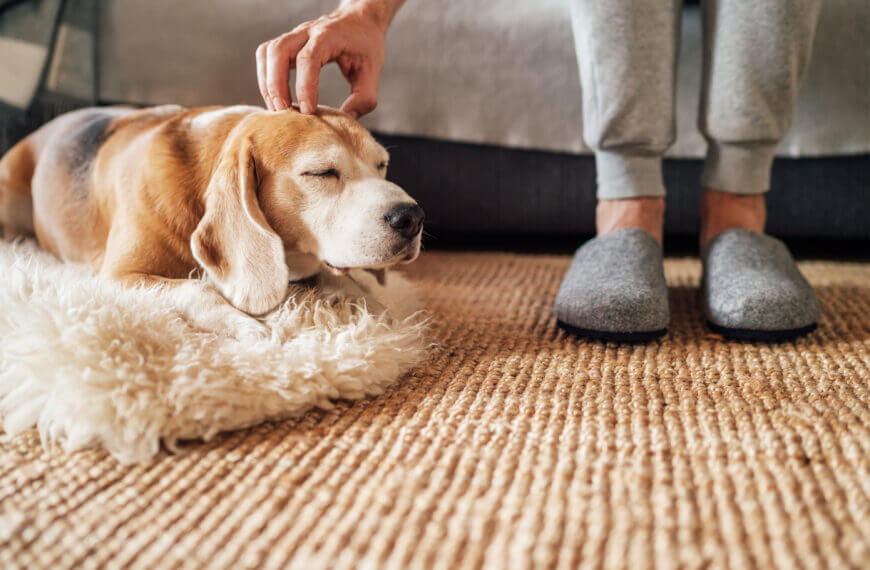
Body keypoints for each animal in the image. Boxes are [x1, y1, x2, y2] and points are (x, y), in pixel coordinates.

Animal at [0, 106, 422, 336]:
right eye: (322, 173)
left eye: (381, 165)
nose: (412, 218)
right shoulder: (118, 275)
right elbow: (196, 289)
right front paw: (244, 325)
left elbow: (345, 282)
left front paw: (377, 309)